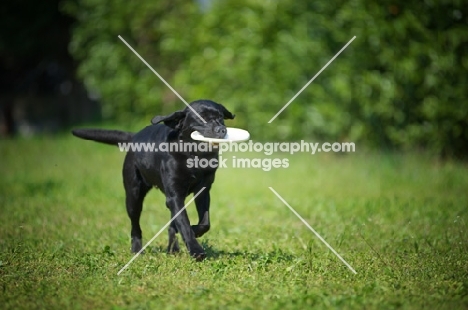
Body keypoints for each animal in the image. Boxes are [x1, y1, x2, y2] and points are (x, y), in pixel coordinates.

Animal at [72, 99, 234, 260]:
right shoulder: (174, 196)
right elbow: (184, 224)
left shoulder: (202, 191)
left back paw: (173, 249)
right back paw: (137, 250)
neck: (194, 156)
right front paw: (196, 250)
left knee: (172, 225)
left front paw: (195, 232)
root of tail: (135, 137)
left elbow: (204, 222)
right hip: (133, 197)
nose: (222, 130)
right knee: (135, 227)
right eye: (201, 118)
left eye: (220, 117)